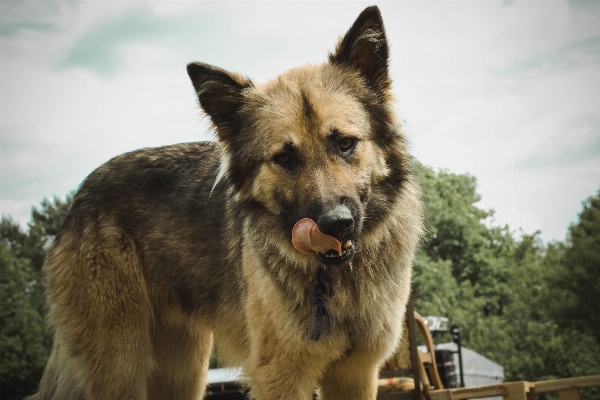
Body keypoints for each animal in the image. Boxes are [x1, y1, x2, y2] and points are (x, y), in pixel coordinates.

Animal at [29, 6, 422, 400]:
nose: (335, 224)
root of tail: (81, 194)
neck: (335, 279)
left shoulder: (356, 375)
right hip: (122, 366)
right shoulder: (281, 377)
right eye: (284, 158)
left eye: (345, 143)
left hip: (184, 371)